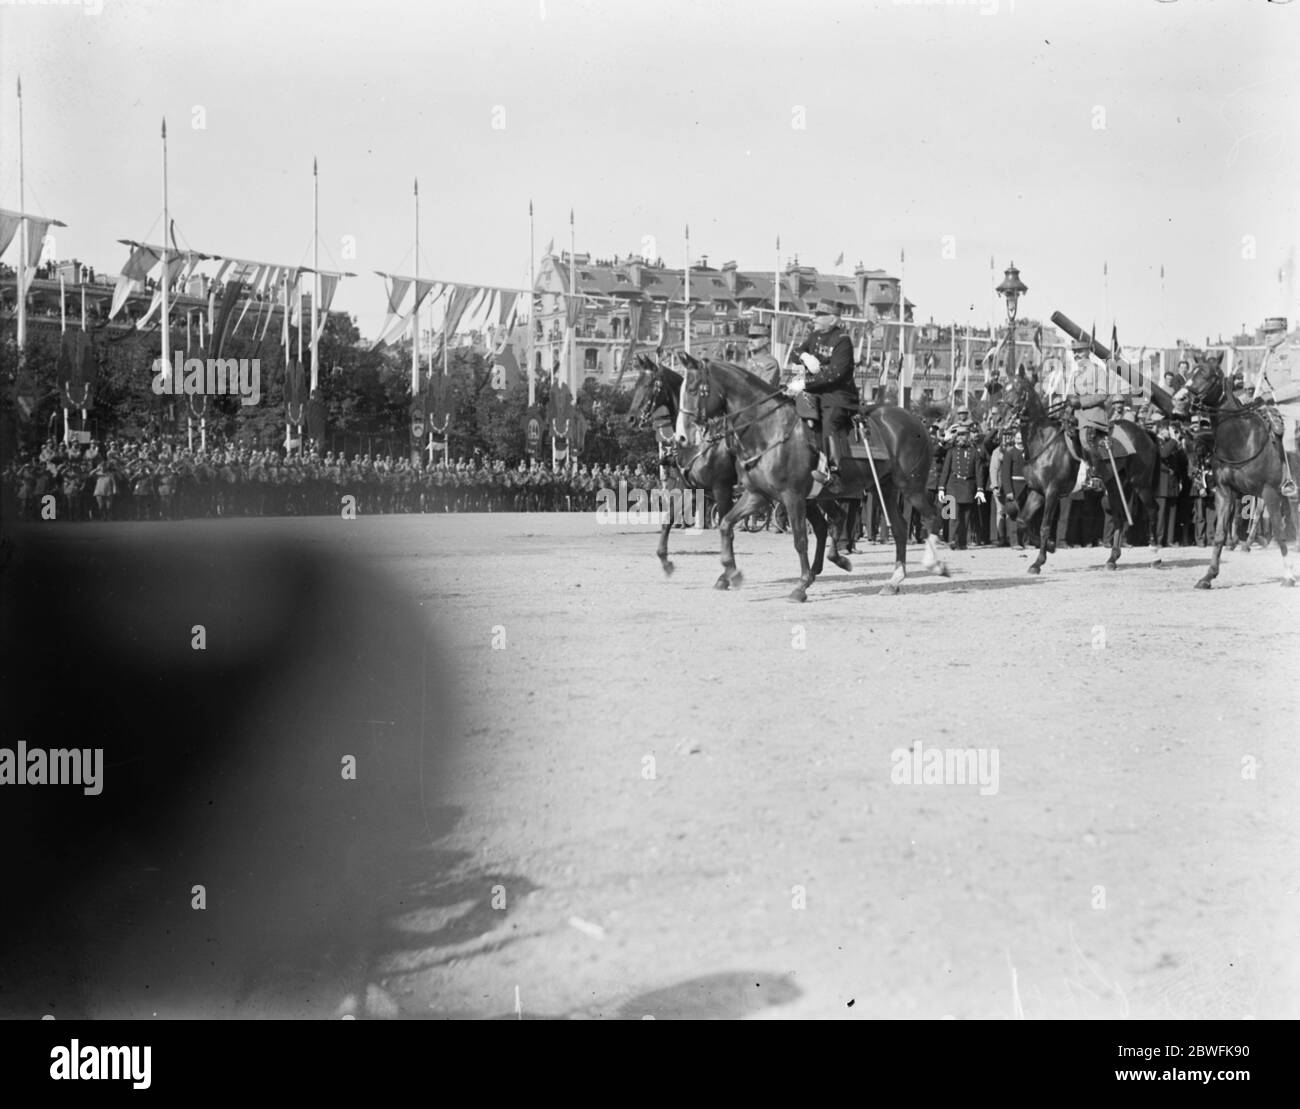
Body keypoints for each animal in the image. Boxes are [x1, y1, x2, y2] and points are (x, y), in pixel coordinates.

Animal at [676, 353, 951, 598]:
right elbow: (725, 524)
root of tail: (914, 420)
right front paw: (731, 573)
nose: (681, 436)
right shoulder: (757, 495)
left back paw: (935, 564)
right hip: (884, 488)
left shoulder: (792, 496)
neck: (768, 429)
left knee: (931, 517)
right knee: (900, 529)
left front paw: (802, 585)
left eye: (693, 389)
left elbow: (800, 539)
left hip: (911, 487)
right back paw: (893, 580)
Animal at [998, 377, 1164, 574]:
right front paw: (1051, 547)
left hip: (1140, 484)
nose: (999, 418)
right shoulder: (1037, 492)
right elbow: (1023, 520)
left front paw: (1039, 562)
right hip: (1115, 486)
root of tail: (1144, 433)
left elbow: (1044, 526)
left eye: (1016, 392)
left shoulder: (1052, 493)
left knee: (1152, 510)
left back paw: (1154, 553)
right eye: (1003, 390)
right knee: (1119, 518)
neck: (1045, 442)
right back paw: (1112, 559)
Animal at [1175, 353, 1294, 587]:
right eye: (1191, 371)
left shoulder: (1269, 491)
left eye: (1210, 375)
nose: (1179, 399)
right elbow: (1221, 531)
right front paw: (1209, 575)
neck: (1241, 439)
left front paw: (1289, 575)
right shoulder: (1226, 492)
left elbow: (1277, 528)